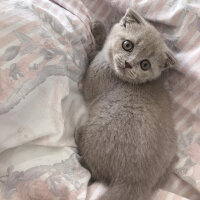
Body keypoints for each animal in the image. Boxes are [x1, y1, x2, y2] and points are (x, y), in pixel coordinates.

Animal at [76, 9, 177, 200]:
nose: (128, 63)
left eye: (145, 64)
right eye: (127, 45)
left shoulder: (93, 79)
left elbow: (94, 56)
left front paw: (97, 31)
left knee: (94, 171)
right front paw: (100, 29)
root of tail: (137, 182)